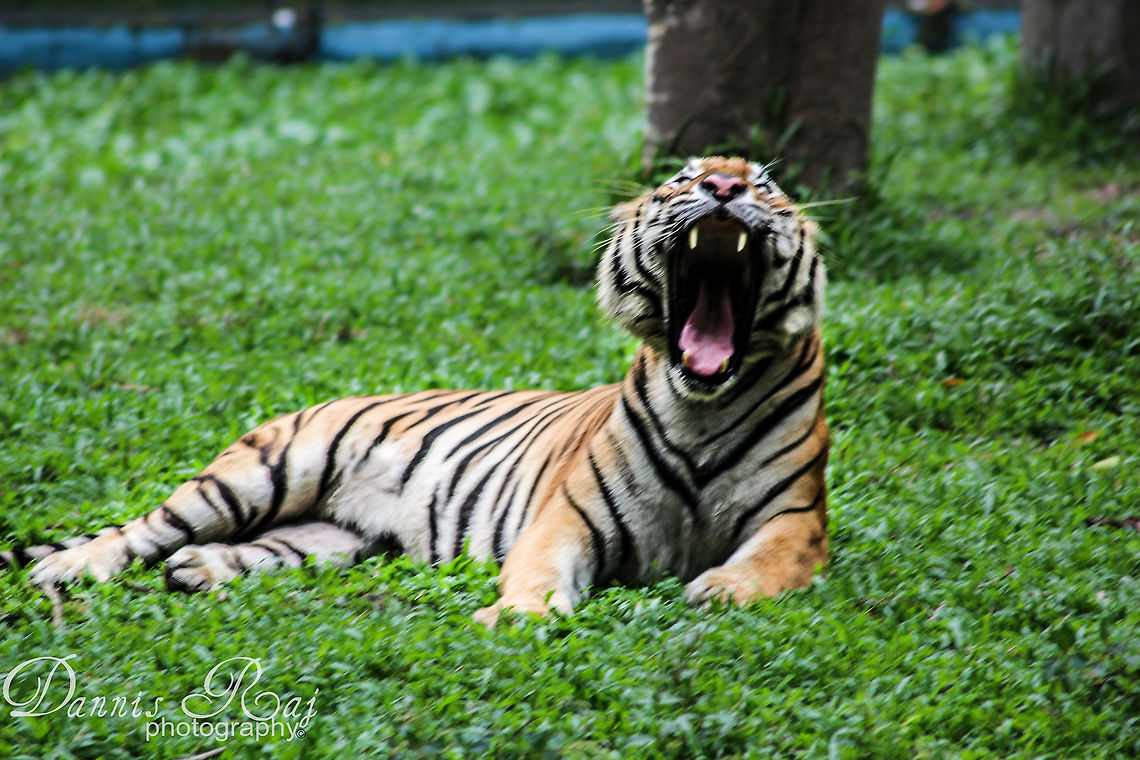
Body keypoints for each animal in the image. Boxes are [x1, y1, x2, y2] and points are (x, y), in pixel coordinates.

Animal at [4, 156, 828, 625]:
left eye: (764, 186)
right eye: (686, 179)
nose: (723, 185)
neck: (702, 406)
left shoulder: (796, 522)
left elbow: (768, 565)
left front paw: (721, 591)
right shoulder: (566, 517)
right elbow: (537, 571)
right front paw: (518, 617)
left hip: (327, 537)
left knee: (237, 550)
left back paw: (197, 571)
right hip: (256, 475)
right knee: (141, 531)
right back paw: (67, 570)